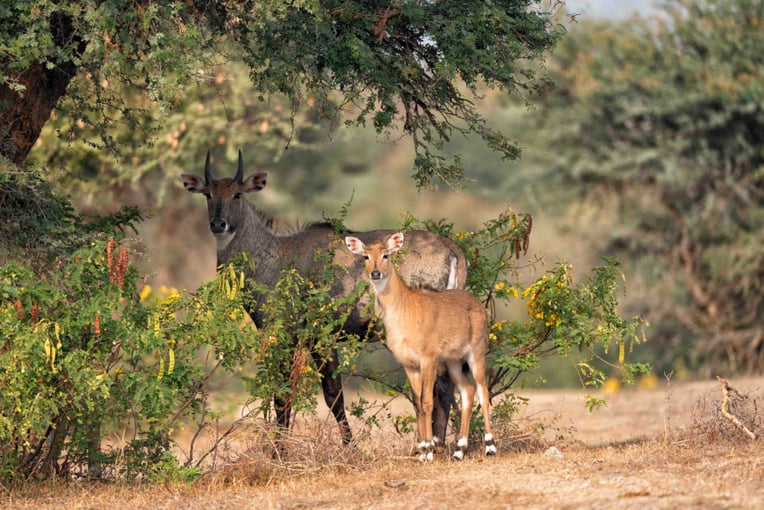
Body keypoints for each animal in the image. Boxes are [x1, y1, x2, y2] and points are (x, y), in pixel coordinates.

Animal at [181, 149, 466, 444]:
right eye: (208, 194)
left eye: (237, 194)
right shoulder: (313, 339)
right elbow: (325, 395)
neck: (272, 256)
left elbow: (301, 396)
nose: (218, 224)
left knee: (442, 389)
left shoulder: (298, 335)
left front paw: (283, 449)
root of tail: (452, 248)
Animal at [344, 233, 496, 460]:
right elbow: (417, 403)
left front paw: (430, 451)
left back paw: (490, 446)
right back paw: (459, 450)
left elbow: (427, 402)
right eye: (365, 256)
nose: (376, 273)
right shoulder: (410, 364)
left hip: (476, 353)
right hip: (453, 362)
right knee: (467, 391)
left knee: (482, 391)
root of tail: (477, 304)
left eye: (386, 255)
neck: (404, 309)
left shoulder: (428, 359)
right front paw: (423, 449)